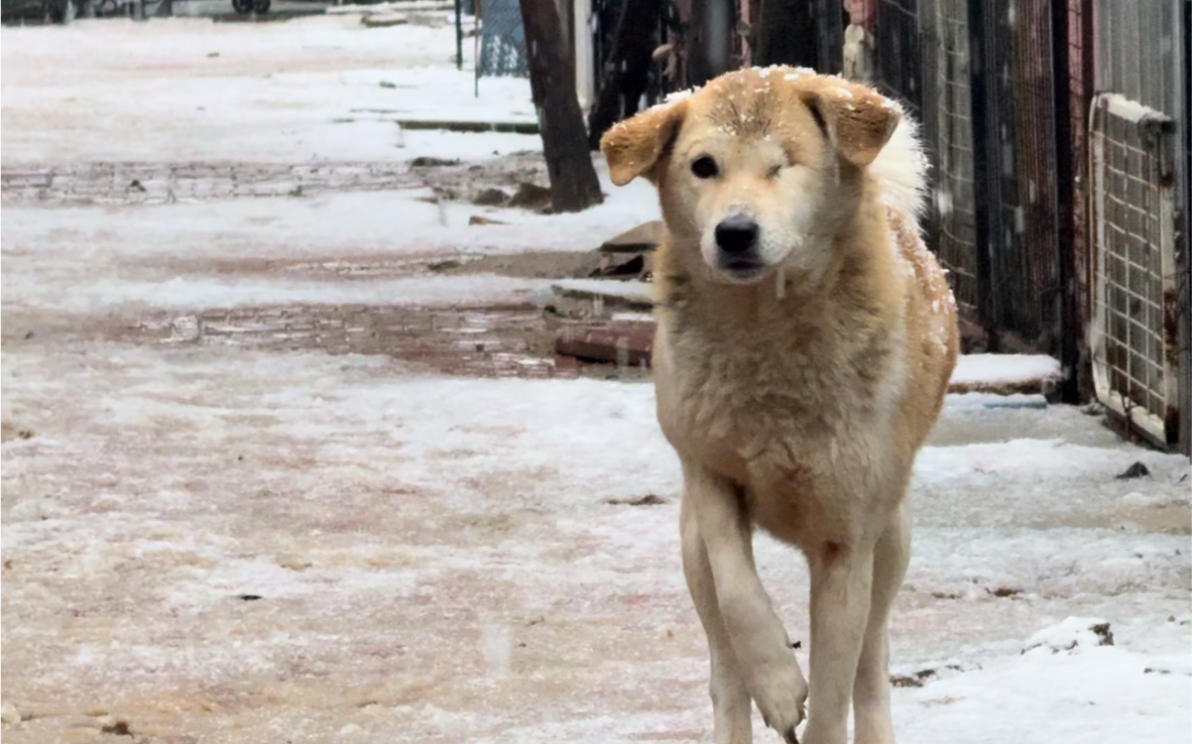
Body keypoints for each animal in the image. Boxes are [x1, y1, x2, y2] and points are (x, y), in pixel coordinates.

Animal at [596, 66, 958, 739]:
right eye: (703, 166)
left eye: (782, 163)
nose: (735, 233)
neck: (767, 333)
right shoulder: (709, 478)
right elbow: (740, 593)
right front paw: (780, 685)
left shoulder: (846, 542)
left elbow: (835, 697)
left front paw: (810, 706)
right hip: (690, 550)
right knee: (723, 668)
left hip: (890, 542)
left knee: (872, 664)